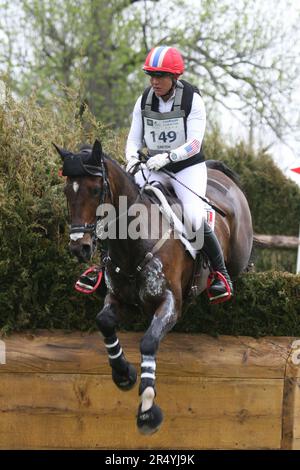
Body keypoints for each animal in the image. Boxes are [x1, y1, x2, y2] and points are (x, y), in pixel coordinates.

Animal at [54, 138, 253, 436]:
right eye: (68, 190)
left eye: (95, 189)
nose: (80, 248)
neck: (133, 241)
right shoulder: (117, 298)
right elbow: (104, 322)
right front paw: (123, 373)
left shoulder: (170, 303)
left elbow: (149, 341)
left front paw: (148, 409)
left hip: (239, 255)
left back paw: (222, 282)